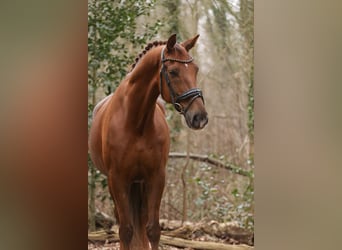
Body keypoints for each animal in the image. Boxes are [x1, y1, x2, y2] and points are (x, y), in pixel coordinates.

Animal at [89, 33, 207, 250]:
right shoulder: (117, 179)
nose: (199, 117)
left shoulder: (156, 177)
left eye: (195, 70)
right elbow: (125, 230)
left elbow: (152, 229)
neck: (136, 122)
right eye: (173, 71)